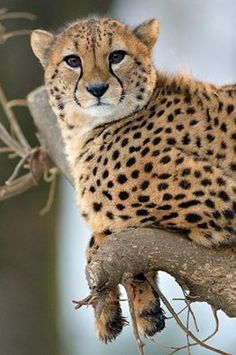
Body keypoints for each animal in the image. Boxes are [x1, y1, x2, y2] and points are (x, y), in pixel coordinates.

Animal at [30, 17, 236, 344]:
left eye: (117, 56)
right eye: (72, 61)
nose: (97, 89)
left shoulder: (219, 199)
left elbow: (99, 240)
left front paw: (110, 303)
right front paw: (138, 308)